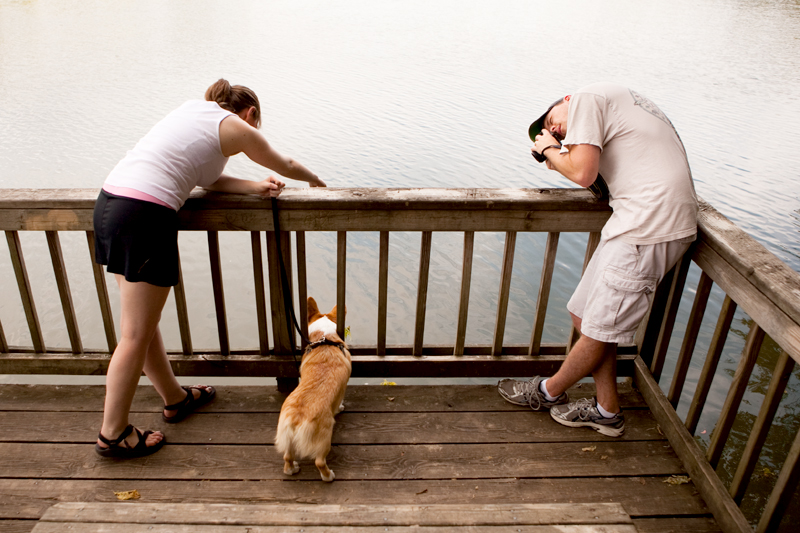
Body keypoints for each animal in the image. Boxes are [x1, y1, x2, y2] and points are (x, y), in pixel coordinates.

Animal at [276, 298, 350, 480]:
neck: (325, 338)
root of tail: (296, 417)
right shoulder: (342, 389)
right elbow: (340, 401)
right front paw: (341, 407)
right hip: (324, 438)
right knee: (319, 462)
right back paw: (329, 476)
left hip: (287, 438)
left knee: (287, 457)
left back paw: (292, 469)